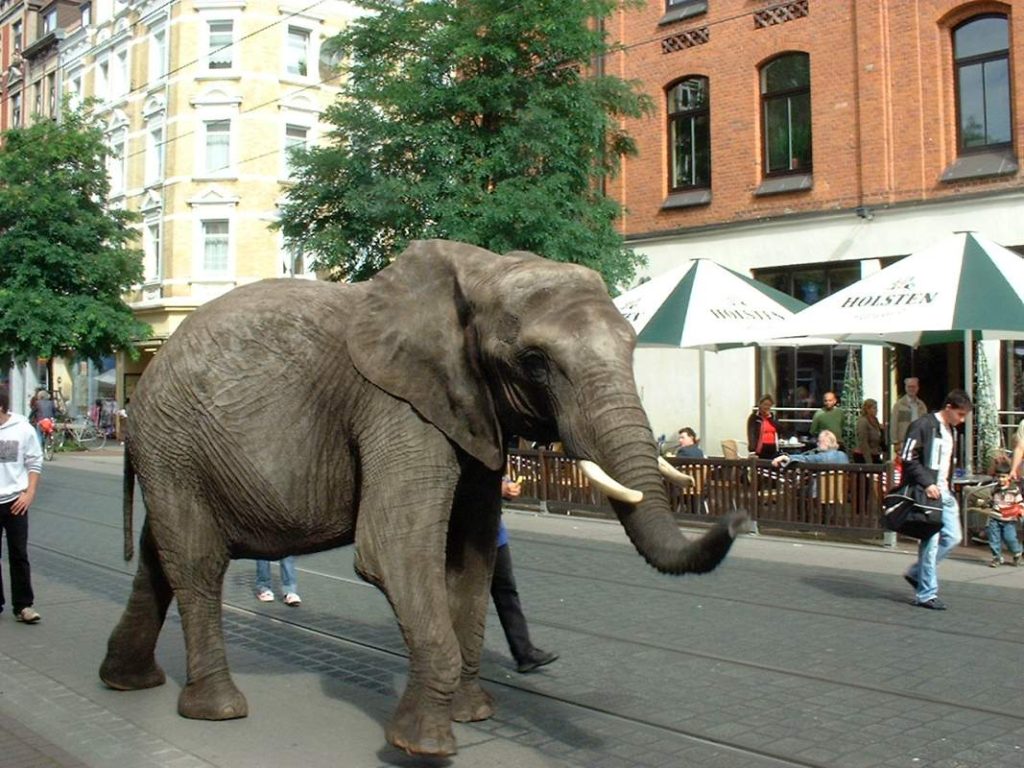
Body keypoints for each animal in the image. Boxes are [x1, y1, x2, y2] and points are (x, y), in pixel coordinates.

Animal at [99, 239, 745, 757]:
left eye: (634, 346)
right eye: (535, 362)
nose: (736, 516)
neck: (482, 273)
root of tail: (142, 382)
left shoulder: (473, 412)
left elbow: (472, 558)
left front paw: (473, 715)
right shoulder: (397, 407)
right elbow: (392, 551)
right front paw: (425, 745)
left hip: (175, 453)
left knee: (160, 558)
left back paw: (125, 681)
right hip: (174, 443)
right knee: (196, 562)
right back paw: (219, 711)